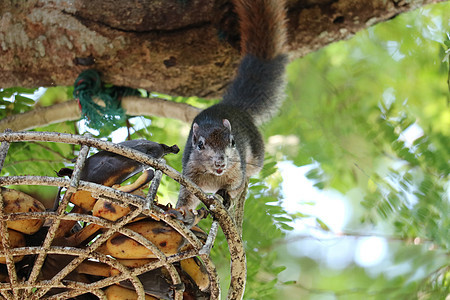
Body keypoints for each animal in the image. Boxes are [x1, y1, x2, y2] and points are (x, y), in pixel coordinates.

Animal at [176, 0, 288, 213]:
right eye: (200, 145)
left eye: (233, 142)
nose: (221, 161)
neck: (214, 176)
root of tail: (232, 106)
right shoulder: (190, 176)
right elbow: (187, 197)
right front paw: (183, 210)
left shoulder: (238, 173)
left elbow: (236, 187)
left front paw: (226, 195)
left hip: (255, 156)